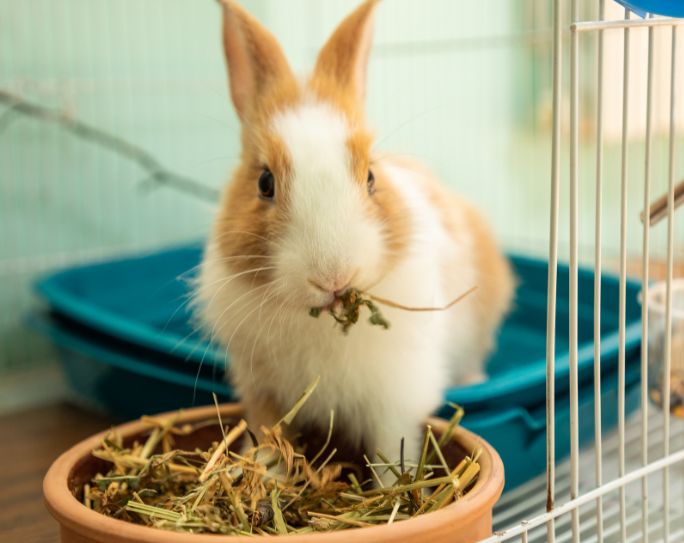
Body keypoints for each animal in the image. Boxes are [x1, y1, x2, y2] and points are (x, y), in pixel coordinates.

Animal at [195, 0, 514, 474]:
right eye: (265, 183)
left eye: (370, 177)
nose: (334, 277)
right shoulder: (264, 395)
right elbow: (271, 445)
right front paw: (268, 476)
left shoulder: (393, 401)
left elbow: (391, 456)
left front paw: (396, 488)